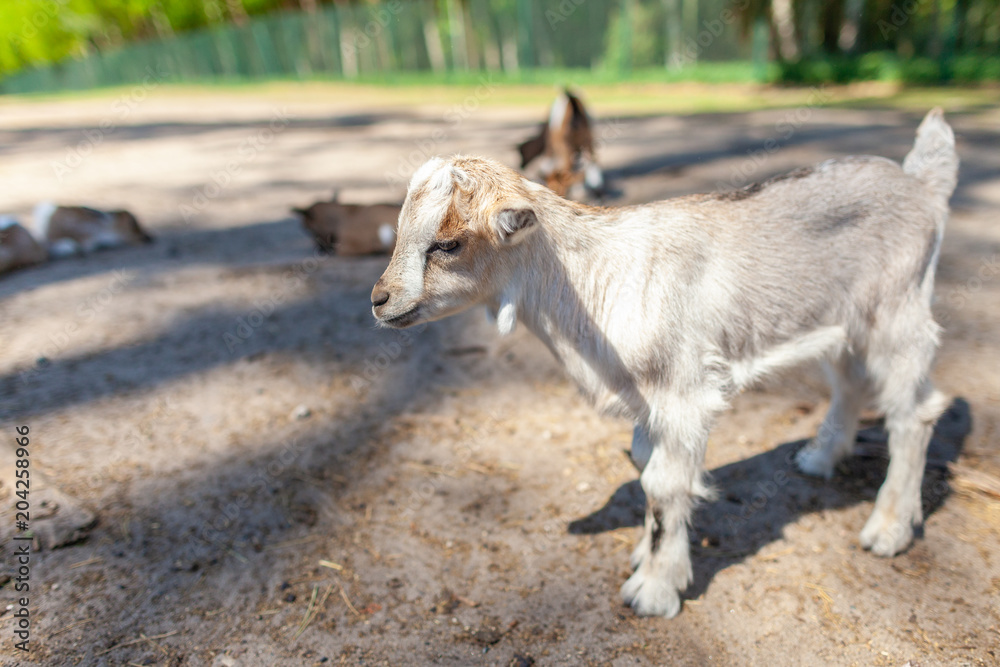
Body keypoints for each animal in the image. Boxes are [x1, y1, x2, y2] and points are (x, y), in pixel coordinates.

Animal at [374, 108, 960, 616]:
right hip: (843, 322)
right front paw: (647, 555)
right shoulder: (646, 398)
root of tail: (920, 183)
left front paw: (654, 589)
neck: (597, 278)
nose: (380, 300)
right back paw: (820, 458)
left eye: (448, 243)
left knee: (913, 413)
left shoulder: (684, 395)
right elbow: (641, 463)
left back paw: (888, 529)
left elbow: (662, 483)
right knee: (850, 382)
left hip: (898, 311)